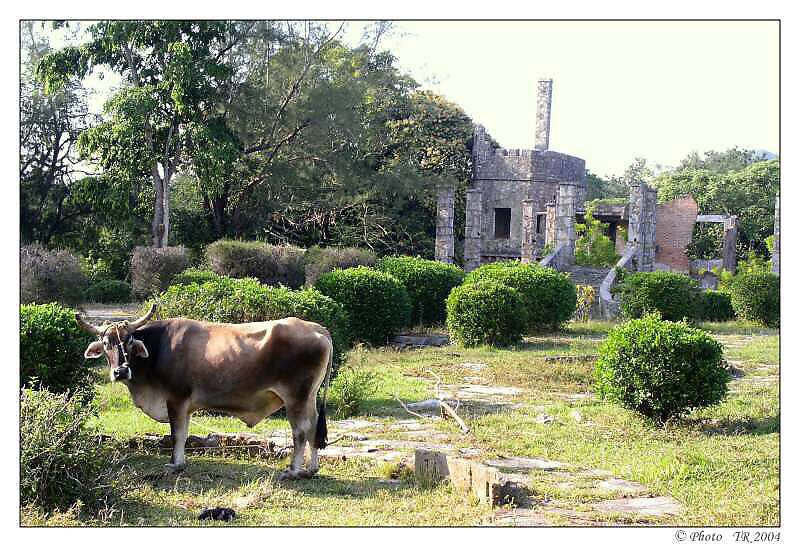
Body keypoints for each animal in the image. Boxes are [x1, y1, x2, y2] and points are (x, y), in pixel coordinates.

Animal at [76, 304, 332, 480]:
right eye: (106, 343)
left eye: (129, 341)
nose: (120, 371)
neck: (159, 348)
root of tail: (316, 328)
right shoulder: (185, 405)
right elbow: (184, 433)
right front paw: (180, 462)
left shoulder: (176, 398)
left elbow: (177, 433)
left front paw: (174, 464)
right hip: (309, 398)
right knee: (313, 428)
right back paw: (311, 469)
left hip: (296, 398)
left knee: (301, 431)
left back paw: (293, 471)